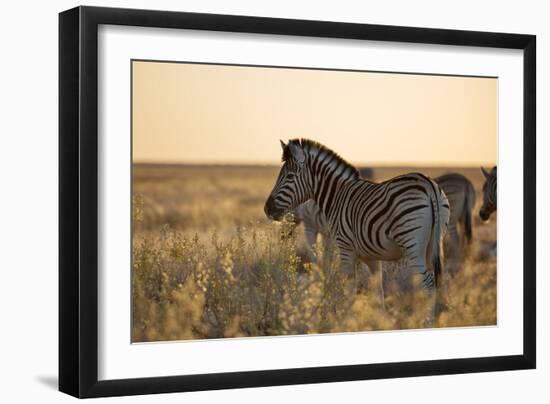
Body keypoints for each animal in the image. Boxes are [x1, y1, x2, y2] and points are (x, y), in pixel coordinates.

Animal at [266, 138, 450, 310]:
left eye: (289, 176)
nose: (267, 208)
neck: (336, 196)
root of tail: (429, 184)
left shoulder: (345, 248)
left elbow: (348, 288)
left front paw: (346, 317)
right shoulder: (372, 256)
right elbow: (378, 290)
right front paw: (380, 318)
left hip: (412, 245)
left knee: (427, 284)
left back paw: (427, 319)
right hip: (433, 243)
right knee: (435, 283)